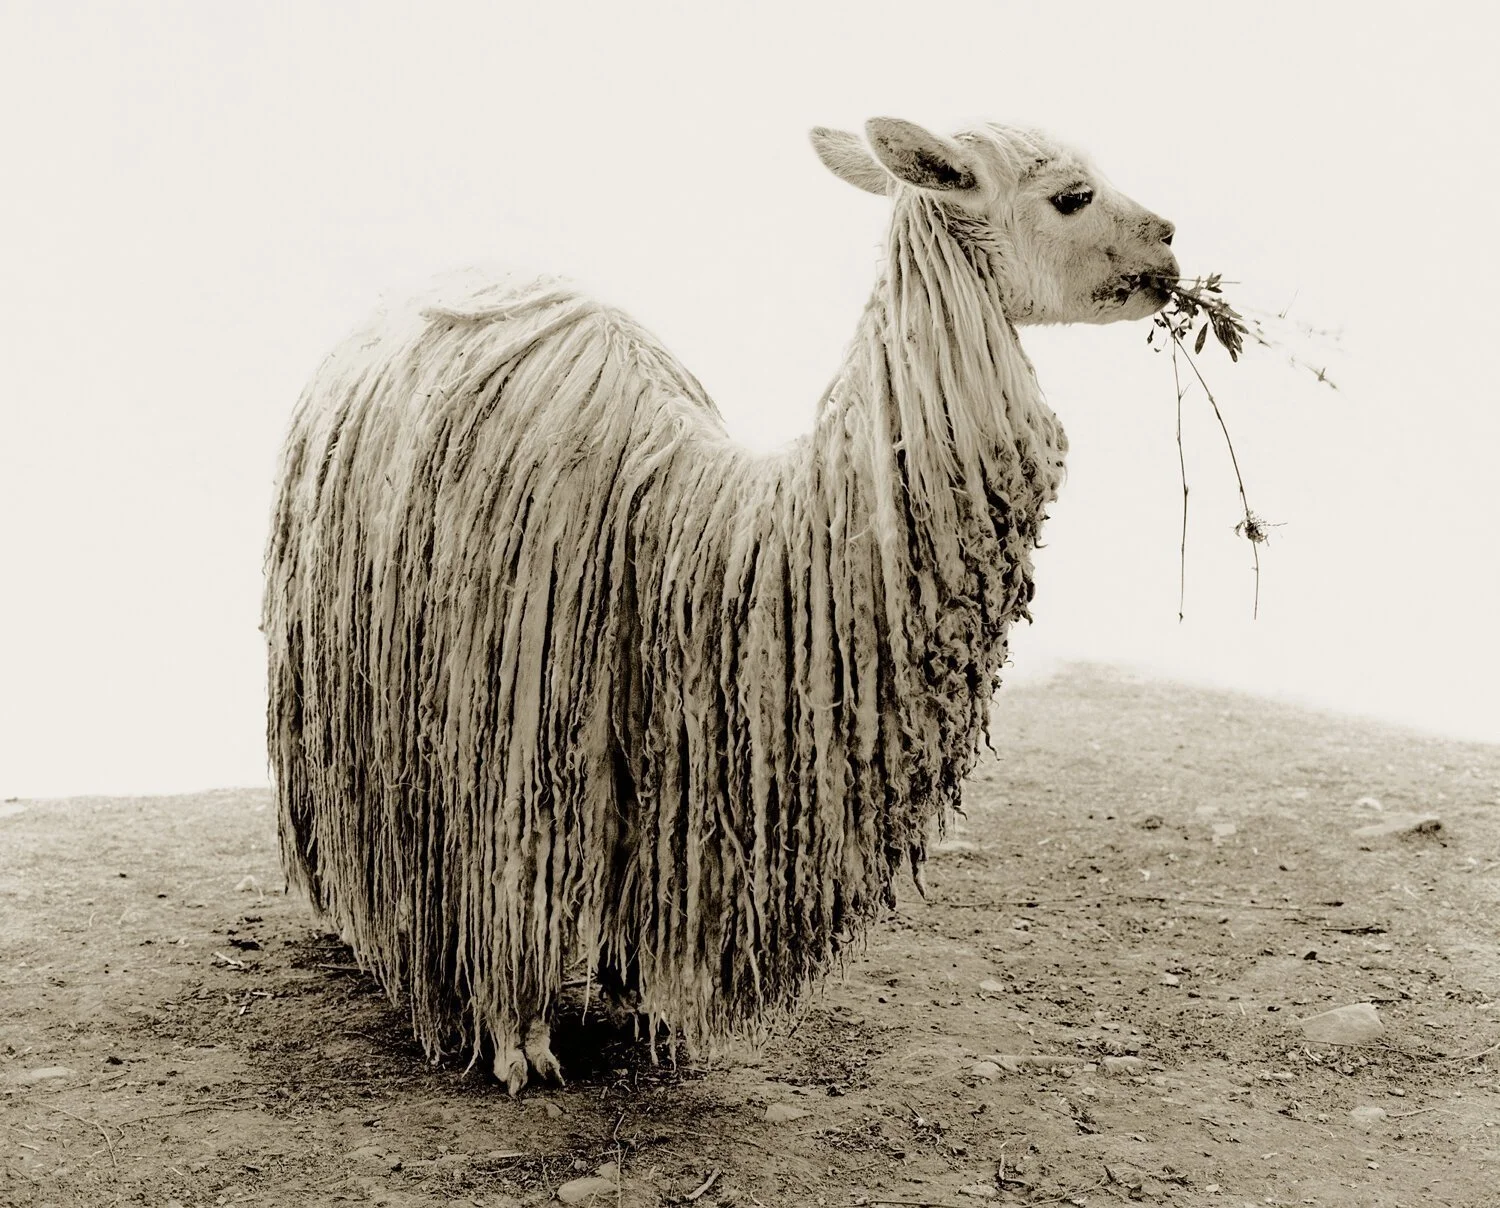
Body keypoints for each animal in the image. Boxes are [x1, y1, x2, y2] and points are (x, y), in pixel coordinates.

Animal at [264, 117, 1179, 1093]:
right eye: (1072, 195)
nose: (1170, 242)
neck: (690, 529)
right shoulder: (509, 738)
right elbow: (513, 884)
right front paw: (519, 1043)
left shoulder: (665, 745)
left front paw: (638, 998)